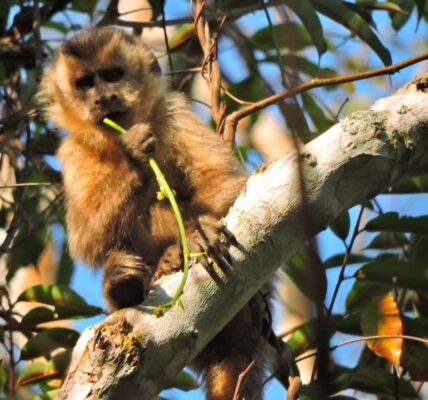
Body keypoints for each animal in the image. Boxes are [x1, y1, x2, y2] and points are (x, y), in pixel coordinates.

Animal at [37, 27, 274, 400]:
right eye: (85, 84)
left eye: (113, 75)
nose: (103, 98)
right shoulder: (72, 149)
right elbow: (86, 243)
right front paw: (134, 153)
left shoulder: (173, 111)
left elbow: (225, 182)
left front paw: (196, 233)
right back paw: (123, 285)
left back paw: (171, 258)